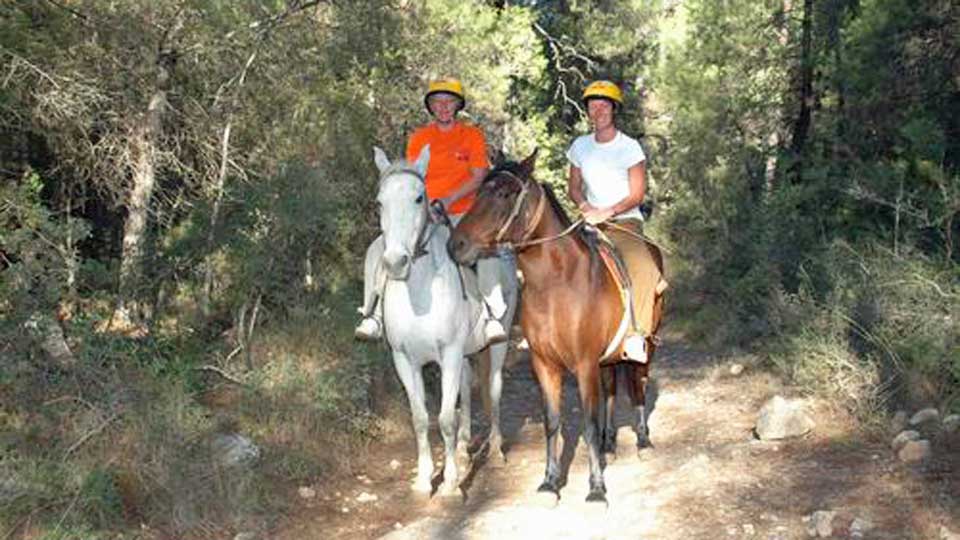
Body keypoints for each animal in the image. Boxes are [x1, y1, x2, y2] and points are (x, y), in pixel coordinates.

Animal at [369, 145, 518, 496]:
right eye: (379, 202)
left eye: (418, 198)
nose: (395, 263)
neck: (420, 295)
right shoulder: (405, 359)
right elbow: (421, 418)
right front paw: (425, 480)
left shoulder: (448, 354)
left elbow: (445, 418)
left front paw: (450, 482)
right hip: (464, 354)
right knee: (465, 387)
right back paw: (463, 450)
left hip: (499, 340)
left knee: (493, 389)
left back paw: (495, 449)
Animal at [447, 150, 665, 504]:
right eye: (478, 192)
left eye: (505, 194)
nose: (456, 245)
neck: (557, 283)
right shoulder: (545, 364)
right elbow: (552, 422)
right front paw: (549, 483)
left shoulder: (585, 363)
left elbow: (587, 422)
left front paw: (596, 489)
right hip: (608, 357)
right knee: (612, 387)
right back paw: (609, 444)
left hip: (647, 345)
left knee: (638, 383)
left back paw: (643, 441)